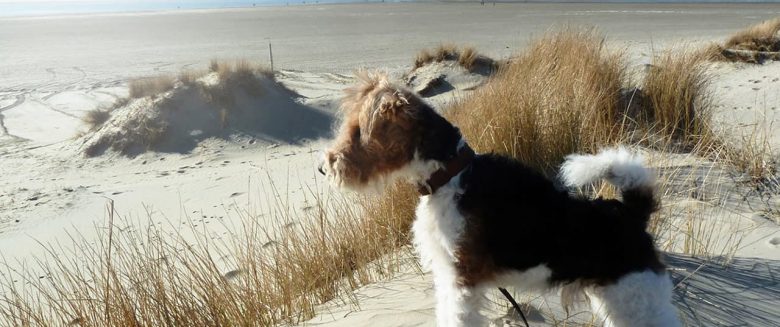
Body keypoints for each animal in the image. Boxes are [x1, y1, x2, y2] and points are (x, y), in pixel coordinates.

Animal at [316, 72, 676, 327]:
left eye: (358, 131)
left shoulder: (463, 279)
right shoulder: (447, 275)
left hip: (637, 298)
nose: (323, 167)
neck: (450, 175)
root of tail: (631, 213)